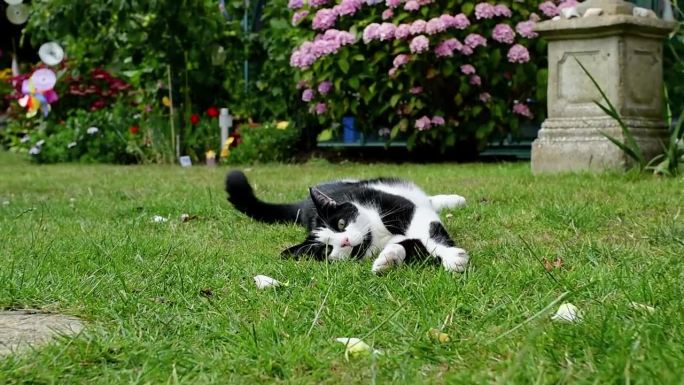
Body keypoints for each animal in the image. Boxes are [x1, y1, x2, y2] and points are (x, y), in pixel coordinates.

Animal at [224, 171, 470, 272]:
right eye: (325, 250)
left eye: (341, 224)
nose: (344, 242)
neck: (375, 237)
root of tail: (305, 205)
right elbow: (411, 246)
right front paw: (388, 260)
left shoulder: (402, 208)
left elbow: (429, 233)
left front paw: (452, 257)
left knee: (427, 201)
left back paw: (454, 200)